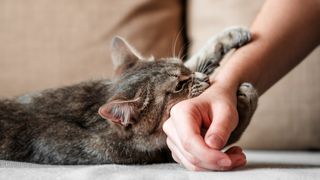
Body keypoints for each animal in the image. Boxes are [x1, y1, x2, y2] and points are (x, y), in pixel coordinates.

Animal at [0, 26, 258, 165]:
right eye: (178, 87)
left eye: (184, 70)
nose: (205, 79)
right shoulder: (163, 152)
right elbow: (233, 129)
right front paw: (247, 98)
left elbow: (199, 57)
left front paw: (231, 35)